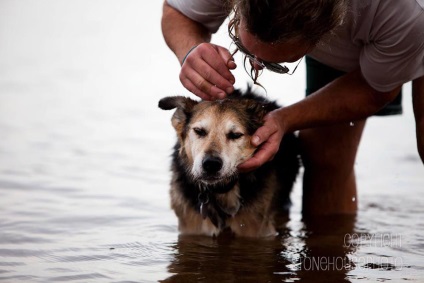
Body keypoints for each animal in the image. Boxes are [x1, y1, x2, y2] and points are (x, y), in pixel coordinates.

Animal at [157, 88, 300, 237]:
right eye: (199, 131)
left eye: (235, 135)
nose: (211, 164)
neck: (221, 191)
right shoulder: (191, 228)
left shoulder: (257, 229)